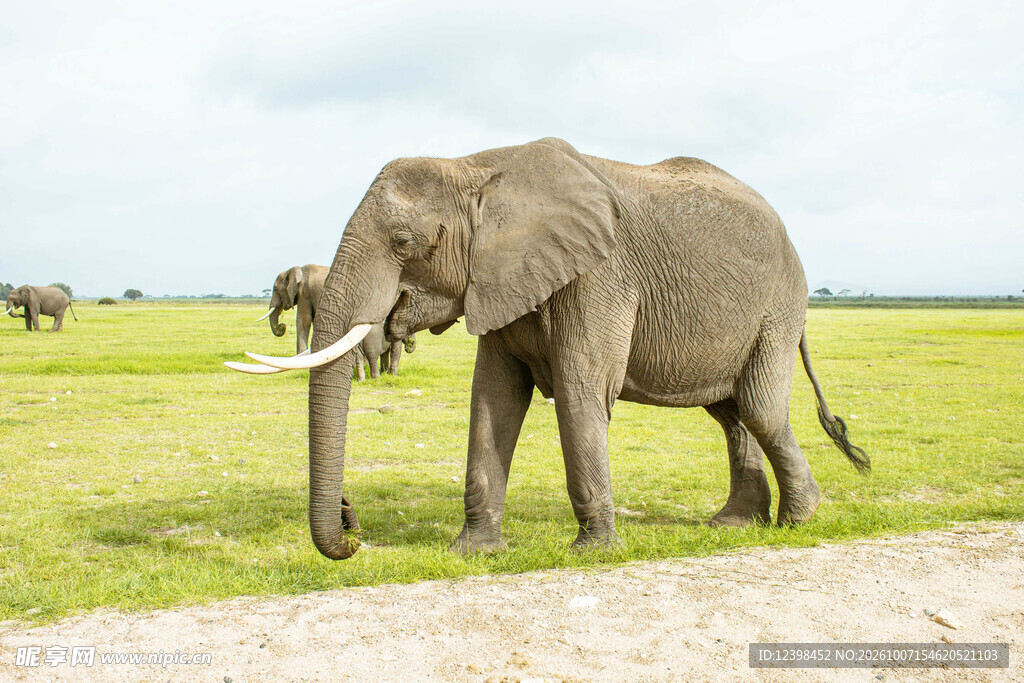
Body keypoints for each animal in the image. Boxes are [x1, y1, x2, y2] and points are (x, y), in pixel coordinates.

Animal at [228, 137, 869, 560]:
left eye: (405, 241)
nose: (351, 521)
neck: (477, 168)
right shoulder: (498, 280)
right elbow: (493, 399)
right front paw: (473, 552)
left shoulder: (599, 275)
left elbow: (583, 393)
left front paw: (594, 553)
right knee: (730, 412)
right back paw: (734, 526)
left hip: (778, 306)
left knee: (759, 407)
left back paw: (799, 521)